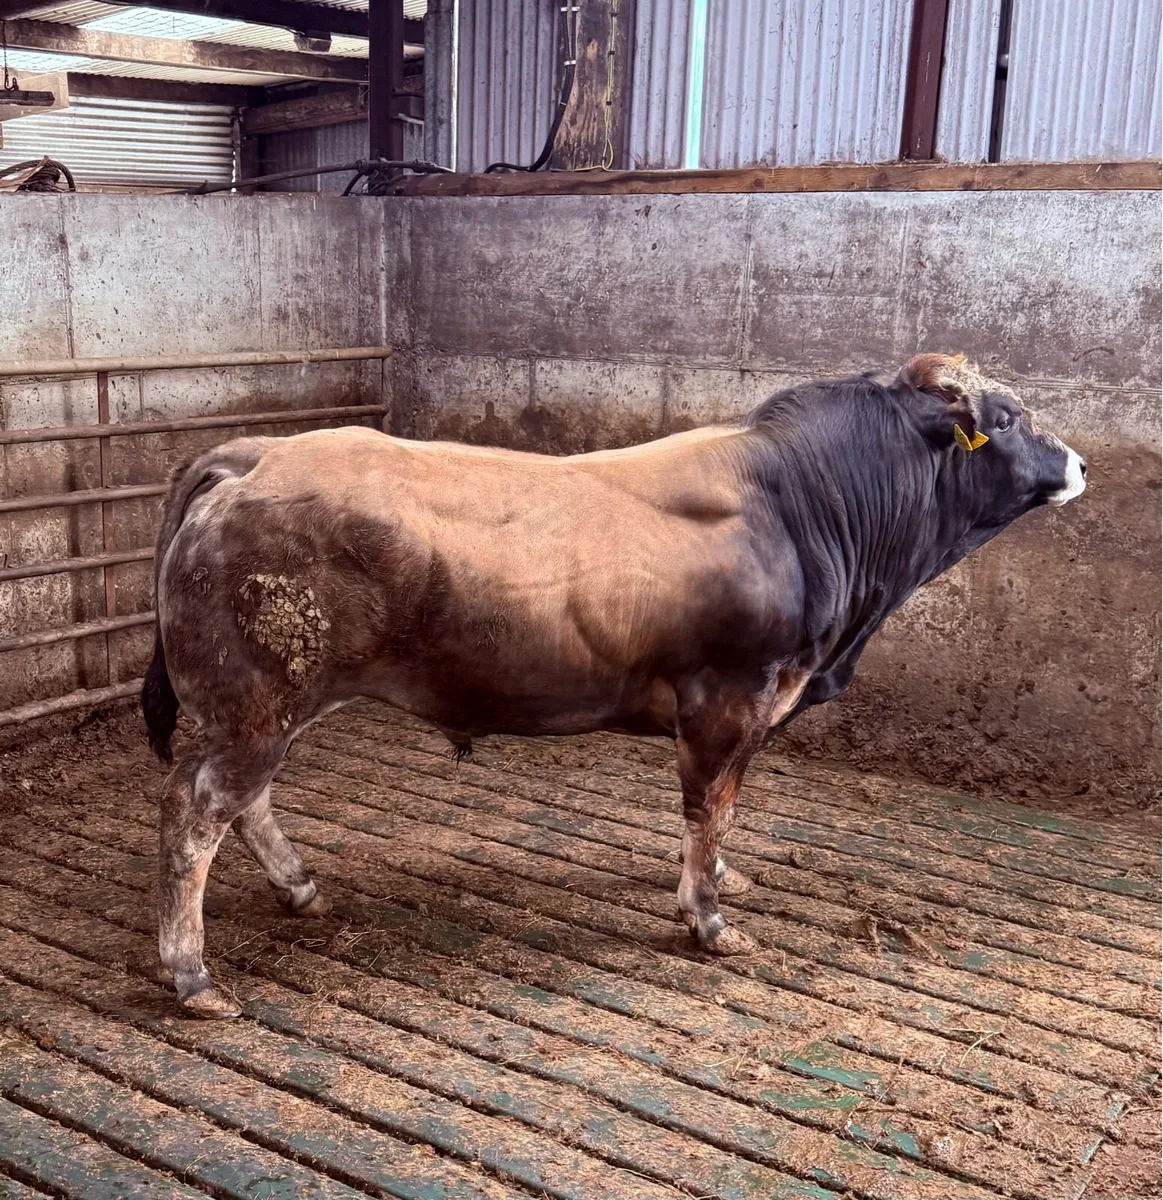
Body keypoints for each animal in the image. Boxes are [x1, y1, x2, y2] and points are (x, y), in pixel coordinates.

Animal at [142, 353, 1086, 1017]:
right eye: (1006, 418)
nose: (1078, 465)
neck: (800, 508)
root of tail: (254, 454)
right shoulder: (730, 701)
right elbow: (708, 811)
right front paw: (710, 920)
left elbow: (721, 817)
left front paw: (723, 883)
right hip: (256, 702)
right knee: (195, 816)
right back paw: (192, 975)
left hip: (265, 705)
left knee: (243, 805)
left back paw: (297, 887)